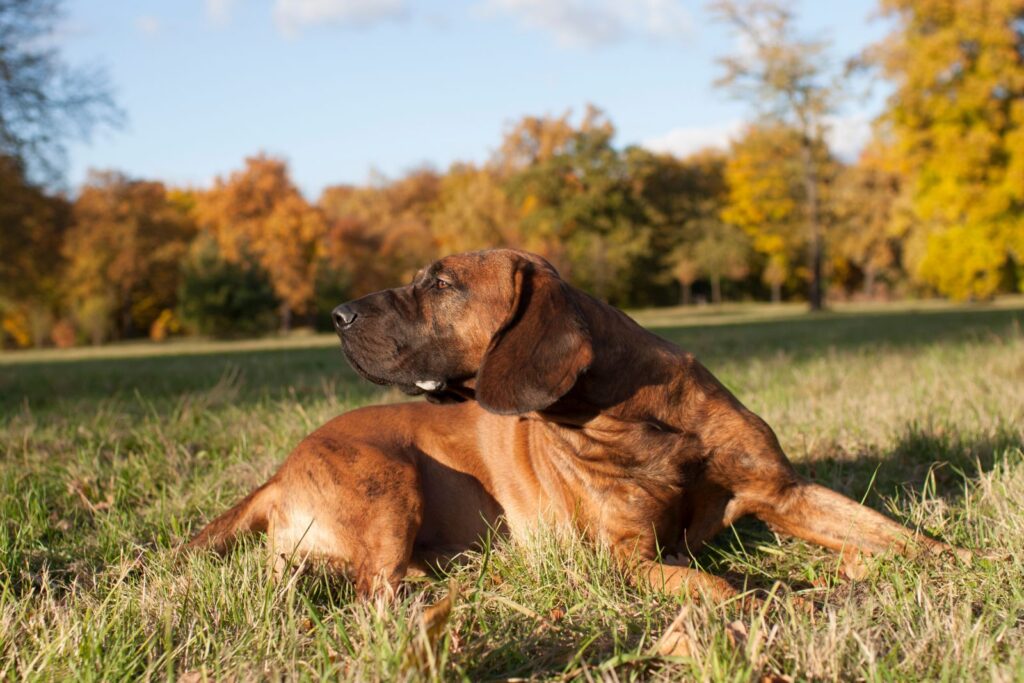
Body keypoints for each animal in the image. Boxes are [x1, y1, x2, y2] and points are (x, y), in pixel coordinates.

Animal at [188, 249, 962, 598]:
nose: (338, 315)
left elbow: (904, 537)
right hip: (387, 476)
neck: (635, 415)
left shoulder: (785, 492)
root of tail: (277, 474)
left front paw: (964, 564)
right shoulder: (628, 556)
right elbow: (721, 587)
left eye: (440, 283)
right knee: (379, 585)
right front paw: (786, 602)